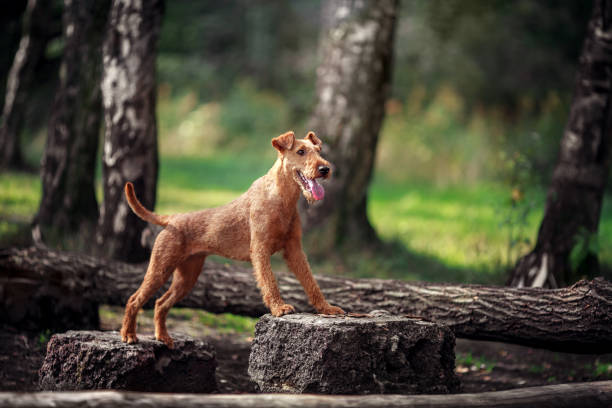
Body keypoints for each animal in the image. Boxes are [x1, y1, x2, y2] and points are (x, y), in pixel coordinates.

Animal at [119, 131, 344, 348]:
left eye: (318, 150)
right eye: (300, 151)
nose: (325, 169)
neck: (281, 198)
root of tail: (172, 218)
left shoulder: (294, 250)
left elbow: (311, 282)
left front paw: (326, 308)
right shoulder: (260, 249)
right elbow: (269, 282)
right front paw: (279, 308)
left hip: (187, 276)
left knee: (160, 303)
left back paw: (163, 337)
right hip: (161, 267)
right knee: (134, 299)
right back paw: (129, 335)